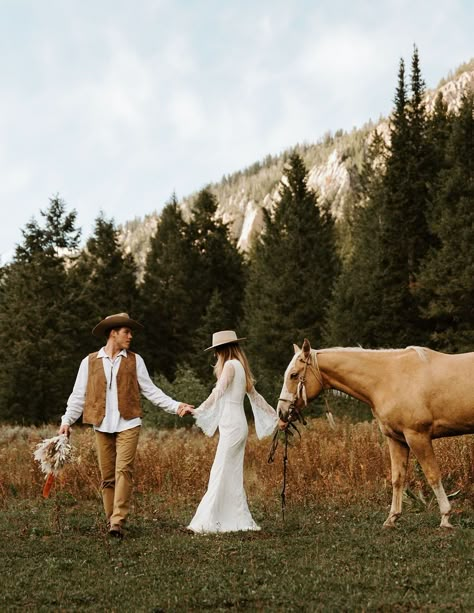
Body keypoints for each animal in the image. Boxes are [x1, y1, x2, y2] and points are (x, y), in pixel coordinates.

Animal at [276, 340, 474, 524]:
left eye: (294, 375)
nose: (282, 412)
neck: (388, 379)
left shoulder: (417, 436)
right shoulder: (397, 439)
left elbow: (432, 475)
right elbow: (397, 478)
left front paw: (445, 518)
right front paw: (392, 519)